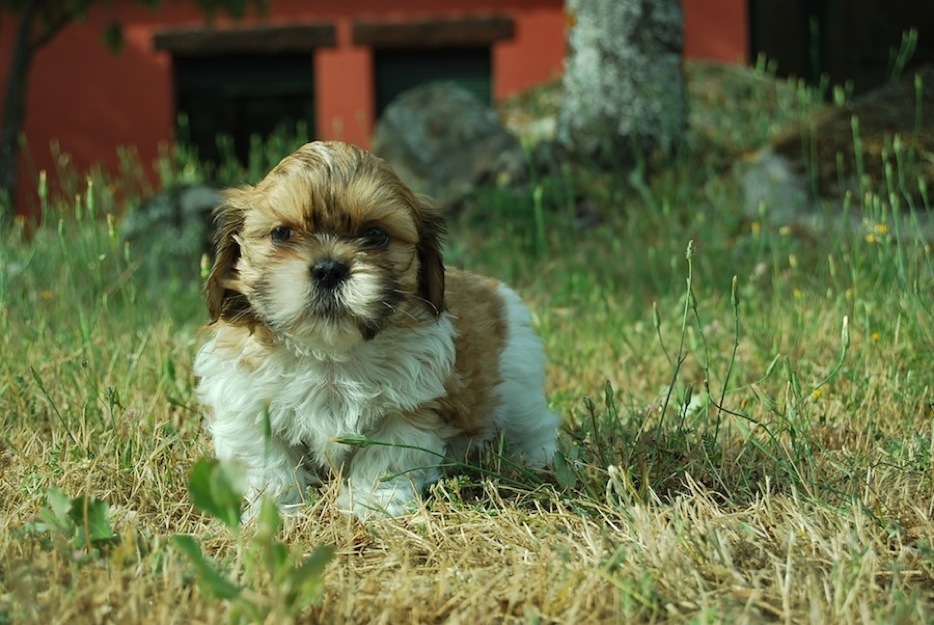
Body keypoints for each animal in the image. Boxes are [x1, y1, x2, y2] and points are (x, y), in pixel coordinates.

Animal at [194, 140, 560, 516]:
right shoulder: (246, 405)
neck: (330, 354)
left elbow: (386, 457)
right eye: (281, 233)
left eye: (375, 234)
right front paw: (278, 510)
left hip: (518, 381)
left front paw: (372, 505)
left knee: (532, 424)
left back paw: (535, 459)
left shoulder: (410, 410)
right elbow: (267, 462)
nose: (329, 269)